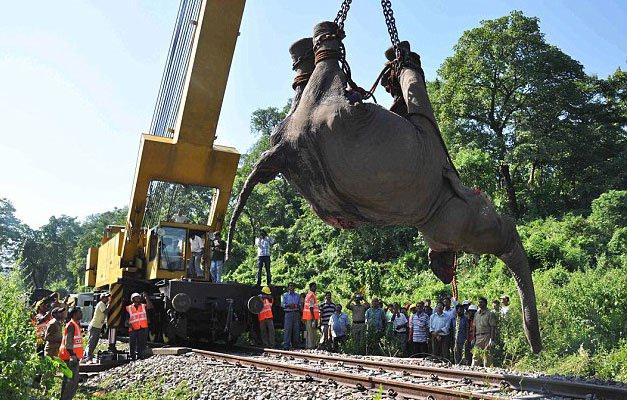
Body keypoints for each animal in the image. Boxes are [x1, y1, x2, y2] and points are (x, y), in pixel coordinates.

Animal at [228, 21, 544, 354]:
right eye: (491, 210)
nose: (535, 348)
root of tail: (282, 150)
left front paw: (395, 60)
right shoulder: (439, 170)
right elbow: (419, 108)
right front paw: (401, 58)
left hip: (311, 133)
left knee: (310, 84)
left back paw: (310, 50)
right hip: (340, 120)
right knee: (331, 70)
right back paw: (333, 36)